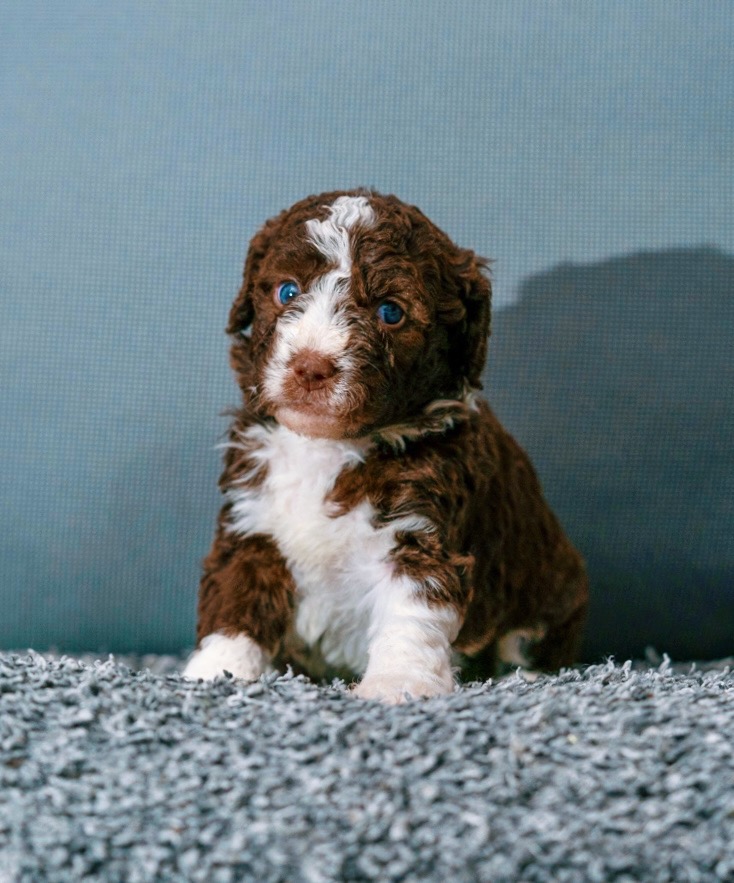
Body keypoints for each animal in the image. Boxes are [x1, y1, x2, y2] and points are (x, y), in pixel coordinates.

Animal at [184, 188, 592, 704]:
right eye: (287, 292)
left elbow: (411, 609)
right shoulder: (254, 522)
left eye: (390, 312)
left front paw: (398, 684)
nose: (311, 366)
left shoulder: (420, 531)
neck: (328, 447)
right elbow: (237, 596)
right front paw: (217, 670)